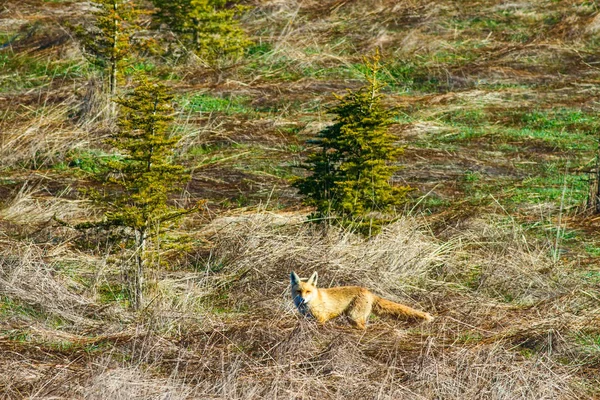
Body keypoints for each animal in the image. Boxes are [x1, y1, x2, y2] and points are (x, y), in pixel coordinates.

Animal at [290, 272, 432, 328]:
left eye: (308, 291)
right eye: (299, 291)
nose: (302, 300)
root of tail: (368, 291)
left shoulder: (321, 318)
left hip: (354, 317)